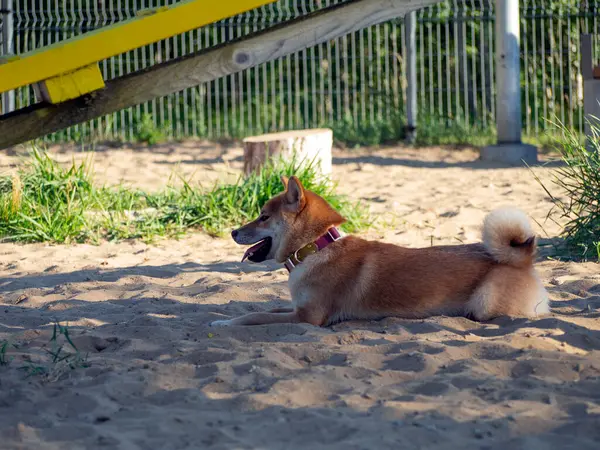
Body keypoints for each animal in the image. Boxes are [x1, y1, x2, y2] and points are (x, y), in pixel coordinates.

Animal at [210, 176, 548, 326]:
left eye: (263, 216)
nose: (233, 232)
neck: (316, 249)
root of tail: (523, 260)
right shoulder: (296, 309)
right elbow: (262, 311)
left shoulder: (308, 317)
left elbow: (254, 318)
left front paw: (223, 323)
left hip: (484, 304)